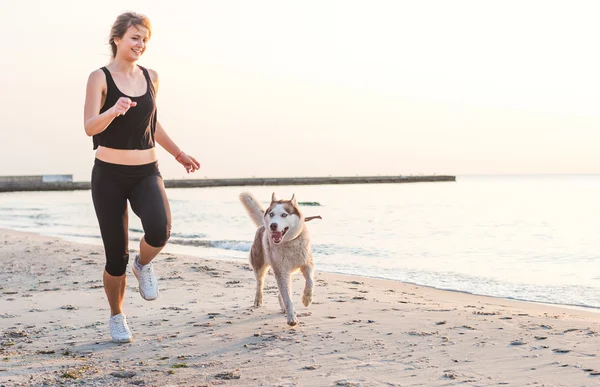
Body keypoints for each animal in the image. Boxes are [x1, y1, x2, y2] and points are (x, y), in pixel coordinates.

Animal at [238, 192, 316, 326]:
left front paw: (307, 299)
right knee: (260, 282)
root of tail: (262, 225)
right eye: (271, 214)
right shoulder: (281, 270)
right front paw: (291, 317)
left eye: (284, 215)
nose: (273, 225)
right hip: (260, 264)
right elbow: (287, 297)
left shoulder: (307, 263)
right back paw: (258, 300)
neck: (290, 242)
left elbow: (310, 281)